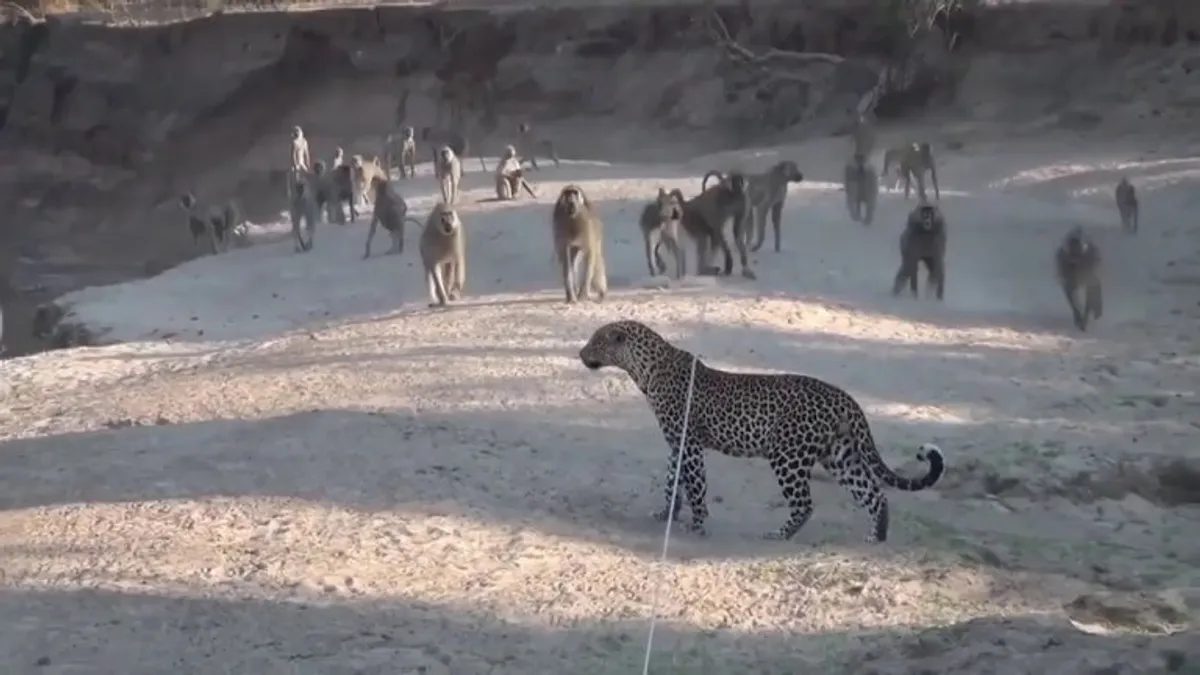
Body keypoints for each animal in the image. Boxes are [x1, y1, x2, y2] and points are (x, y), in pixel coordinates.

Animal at [579, 320, 945, 543]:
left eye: (596, 341)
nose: (580, 353)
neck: (645, 369)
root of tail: (844, 397)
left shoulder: (690, 444)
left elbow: (695, 485)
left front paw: (698, 523)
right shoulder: (676, 444)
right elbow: (672, 481)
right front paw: (665, 514)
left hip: (788, 456)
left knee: (805, 503)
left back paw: (779, 534)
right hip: (839, 455)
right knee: (873, 492)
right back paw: (875, 537)